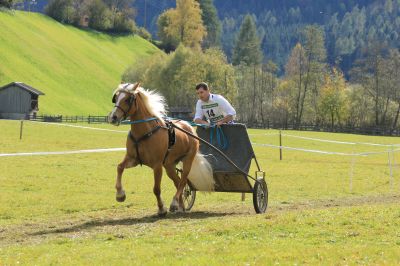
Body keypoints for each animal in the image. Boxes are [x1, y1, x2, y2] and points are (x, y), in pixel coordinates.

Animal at [108, 82, 216, 215]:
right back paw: (180, 206)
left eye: (128, 99)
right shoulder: (133, 159)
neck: (145, 133)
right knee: (178, 182)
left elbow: (156, 189)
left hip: (187, 160)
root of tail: (189, 127)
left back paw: (175, 203)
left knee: (183, 181)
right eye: (116, 98)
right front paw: (120, 194)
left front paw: (161, 209)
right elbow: (119, 167)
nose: (113, 117)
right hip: (169, 165)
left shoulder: (157, 165)